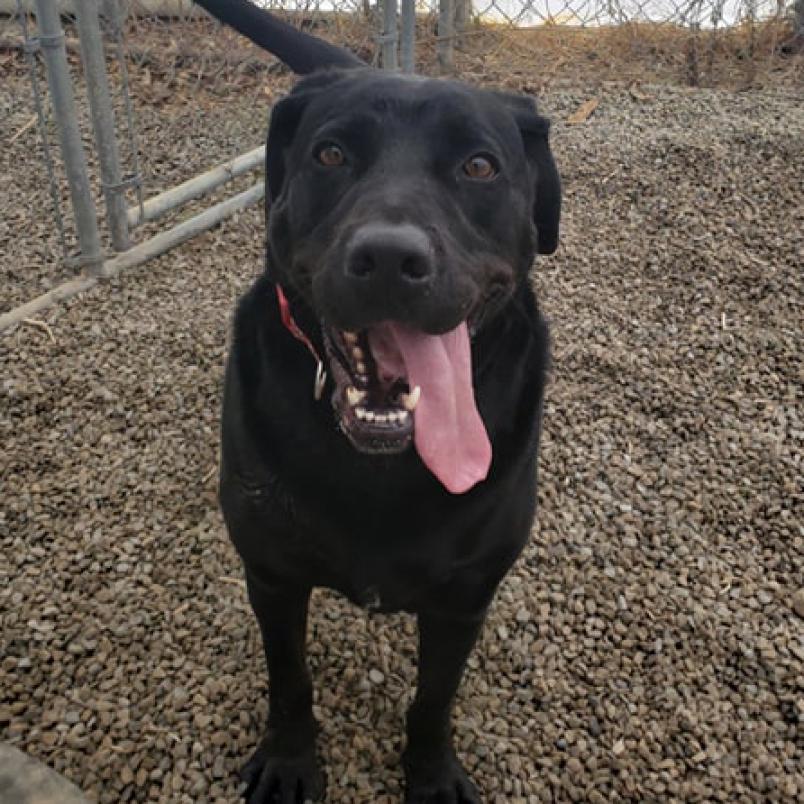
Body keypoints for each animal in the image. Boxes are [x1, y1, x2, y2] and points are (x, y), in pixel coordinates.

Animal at [193, 3, 560, 800]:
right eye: (330, 155)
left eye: (479, 166)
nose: (390, 257)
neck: (380, 463)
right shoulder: (271, 574)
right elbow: (289, 679)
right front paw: (290, 759)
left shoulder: (466, 595)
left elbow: (434, 698)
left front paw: (432, 773)